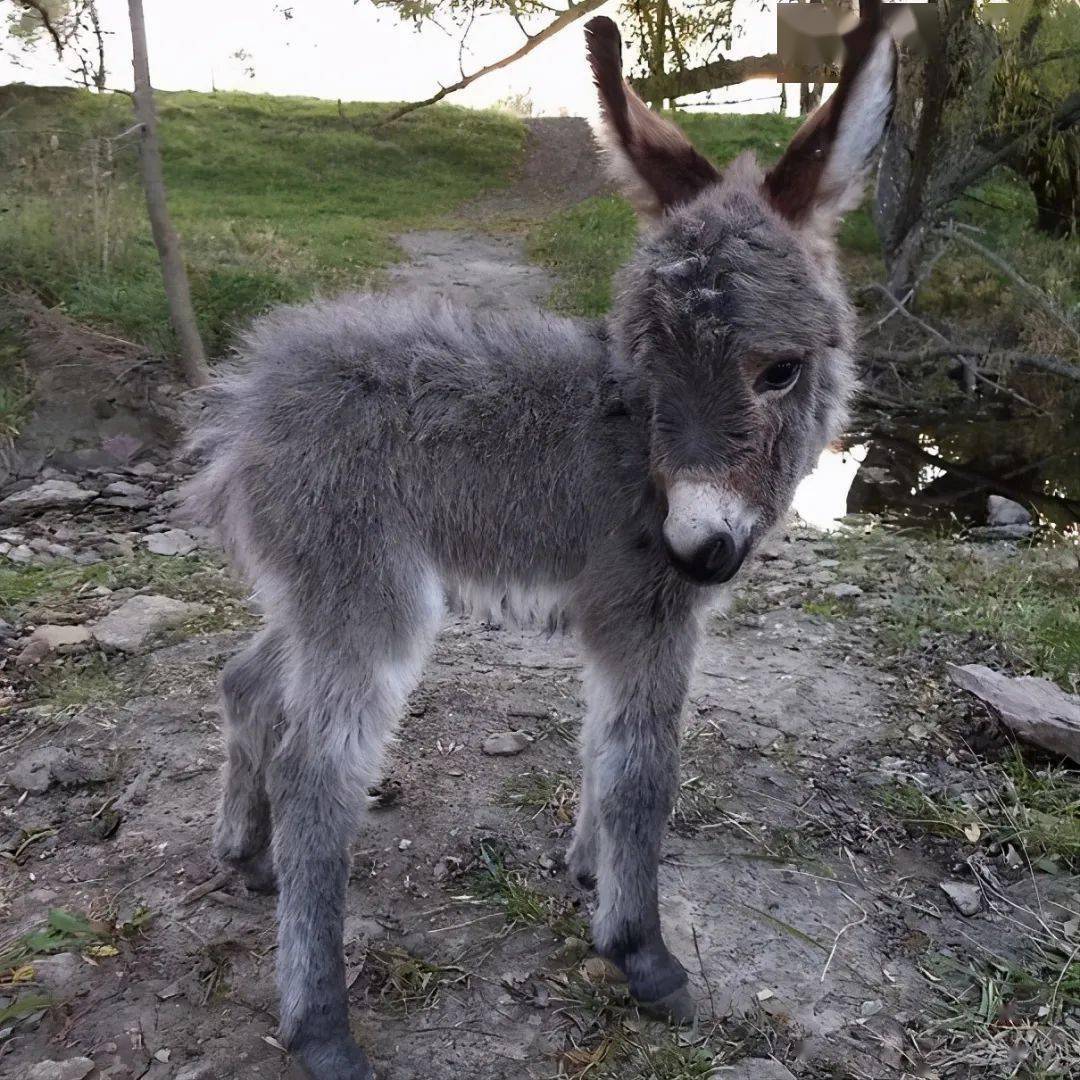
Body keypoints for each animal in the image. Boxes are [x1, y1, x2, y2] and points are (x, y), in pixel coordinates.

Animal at [183, 10, 894, 1080]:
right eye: (644, 365)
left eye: (779, 370)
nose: (698, 547)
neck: (636, 447)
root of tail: (248, 406)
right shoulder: (645, 609)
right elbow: (644, 769)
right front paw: (640, 951)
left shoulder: (633, 617)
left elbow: (605, 750)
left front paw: (590, 871)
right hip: (370, 595)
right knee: (320, 775)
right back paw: (321, 1025)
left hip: (314, 586)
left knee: (247, 680)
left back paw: (246, 852)